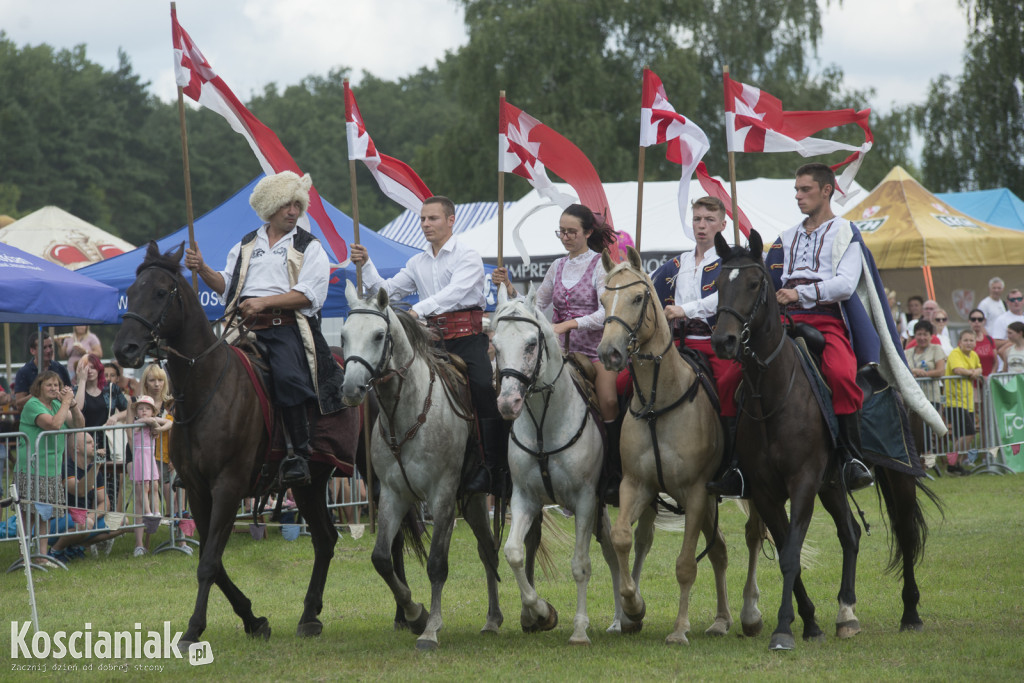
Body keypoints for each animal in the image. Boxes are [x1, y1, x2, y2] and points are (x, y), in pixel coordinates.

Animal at [113, 242, 411, 651]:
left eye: (160, 292)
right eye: (130, 291)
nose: (124, 349)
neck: (208, 387)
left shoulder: (228, 486)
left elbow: (209, 562)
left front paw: (193, 630)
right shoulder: (198, 491)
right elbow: (213, 561)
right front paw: (253, 619)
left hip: (375, 475)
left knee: (390, 535)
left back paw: (403, 613)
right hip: (311, 482)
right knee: (325, 539)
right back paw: (309, 615)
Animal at [339, 282, 503, 651]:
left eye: (378, 335)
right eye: (343, 335)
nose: (351, 388)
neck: (408, 410)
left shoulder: (441, 496)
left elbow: (437, 564)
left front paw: (430, 630)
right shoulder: (392, 494)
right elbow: (381, 558)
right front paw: (415, 615)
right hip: (473, 500)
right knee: (488, 550)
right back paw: (493, 619)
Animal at [489, 288, 643, 647]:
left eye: (531, 343)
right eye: (495, 345)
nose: (508, 403)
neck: (545, 424)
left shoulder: (585, 500)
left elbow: (580, 564)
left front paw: (579, 629)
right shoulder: (524, 498)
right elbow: (514, 552)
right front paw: (541, 612)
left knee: (611, 555)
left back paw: (622, 619)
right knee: (612, 555)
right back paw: (619, 620)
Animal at [593, 246, 761, 647]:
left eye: (638, 298)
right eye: (603, 299)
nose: (609, 353)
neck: (660, 401)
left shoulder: (696, 491)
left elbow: (685, 564)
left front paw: (680, 629)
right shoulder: (636, 485)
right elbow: (621, 537)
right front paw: (633, 607)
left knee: (752, 537)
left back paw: (750, 612)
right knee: (720, 550)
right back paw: (721, 620)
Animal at [712, 229, 937, 651]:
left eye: (754, 284)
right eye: (718, 283)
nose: (724, 341)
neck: (772, 394)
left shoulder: (802, 483)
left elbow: (790, 555)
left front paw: (784, 629)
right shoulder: (765, 492)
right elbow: (791, 553)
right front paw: (810, 622)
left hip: (897, 475)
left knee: (904, 532)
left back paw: (911, 614)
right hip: (832, 483)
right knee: (850, 534)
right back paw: (846, 613)